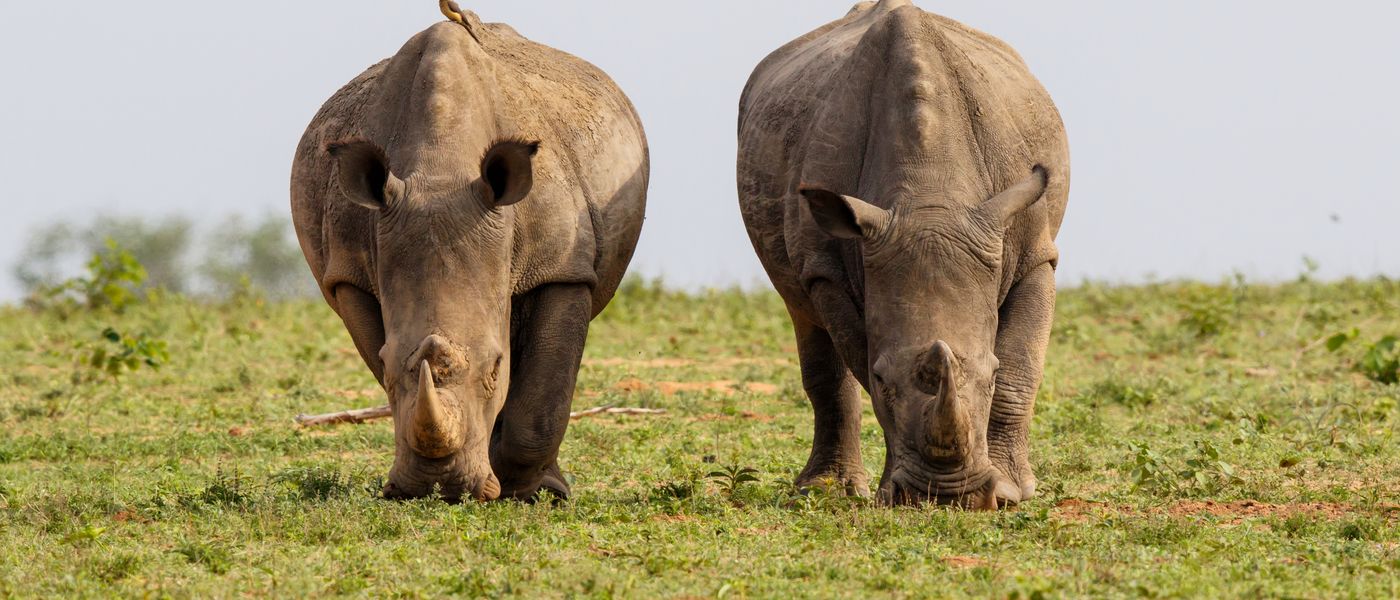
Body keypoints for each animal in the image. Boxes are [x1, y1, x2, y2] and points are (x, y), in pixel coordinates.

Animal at [290, 8, 648, 502]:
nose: (439, 487)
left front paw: (533, 492)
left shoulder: (562, 266)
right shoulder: (348, 272)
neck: (441, 168)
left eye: (496, 368)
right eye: (385, 363)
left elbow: (542, 396)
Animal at [737, 0, 1069, 508]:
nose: (949, 498)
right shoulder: (829, 269)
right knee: (803, 312)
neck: (930, 198)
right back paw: (824, 490)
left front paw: (1012, 492)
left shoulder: (1035, 251)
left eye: (990, 377)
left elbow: (1021, 367)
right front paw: (892, 494)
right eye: (882, 379)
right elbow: (859, 358)